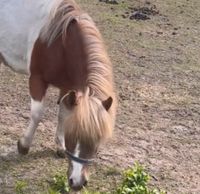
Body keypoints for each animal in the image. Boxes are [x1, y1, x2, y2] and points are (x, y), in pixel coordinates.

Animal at [0, 0, 116, 190]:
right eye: (74, 136)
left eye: (98, 141)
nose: (78, 182)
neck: (62, 44)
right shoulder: (37, 80)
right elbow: (37, 114)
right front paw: (24, 145)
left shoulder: (67, 87)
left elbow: (63, 114)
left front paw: (60, 146)